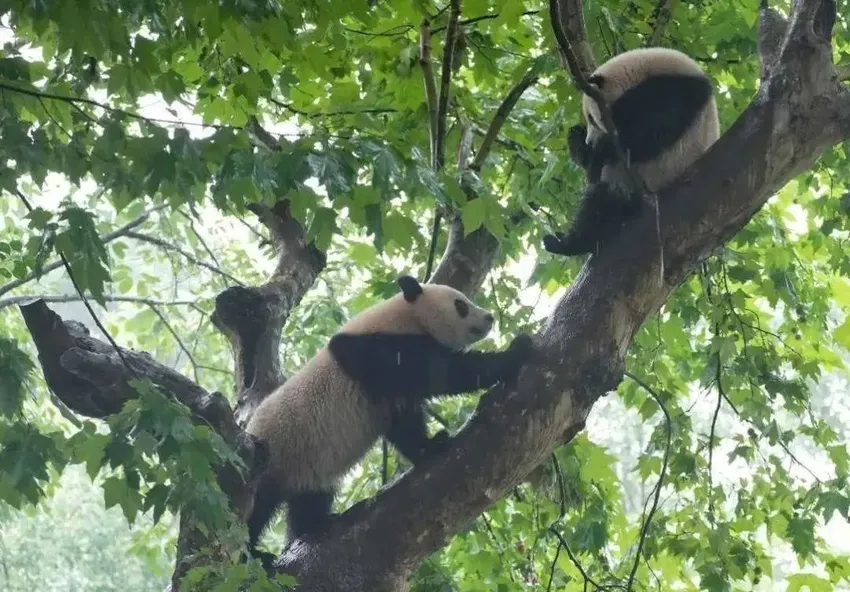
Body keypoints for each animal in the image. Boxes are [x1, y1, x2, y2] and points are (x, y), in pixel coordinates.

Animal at [242, 276, 528, 568]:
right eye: (461, 305)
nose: (489, 317)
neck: (404, 317)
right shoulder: (372, 353)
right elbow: (437, 372)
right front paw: (515, 352)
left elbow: (404, 421)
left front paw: (430, 445)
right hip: (271, 456)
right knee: (255, 509)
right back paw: (254, 555)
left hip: (308, 468)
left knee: (310, 499)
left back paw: (316, 524)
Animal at [544, 47, 724, 256]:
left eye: (592, 118)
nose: (590, 140)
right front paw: (579, 142)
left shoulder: (677, 89)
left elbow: (652, 132)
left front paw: (599, 152)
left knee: (602, 203)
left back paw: (570, 243)